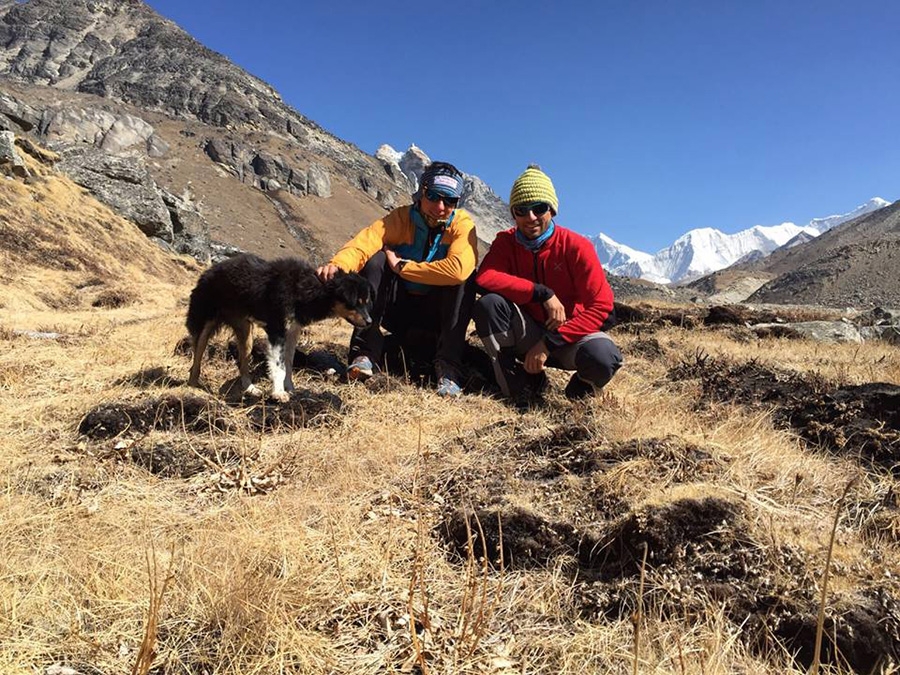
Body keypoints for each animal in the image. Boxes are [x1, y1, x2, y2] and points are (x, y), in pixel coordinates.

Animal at [186, 254, 372, 402]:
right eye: (356, 302)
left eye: (366, 301)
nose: (370, 321)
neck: (307, 289)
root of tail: (208, 271)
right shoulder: (277, 331)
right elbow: (279, 365)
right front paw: (279, 392)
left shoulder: (292, 331)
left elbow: (288, 362)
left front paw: (290, 387)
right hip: (204, 322)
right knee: (197, 359)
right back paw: (193, 387)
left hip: (246, 331)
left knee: (242, 361)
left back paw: (250, 388)